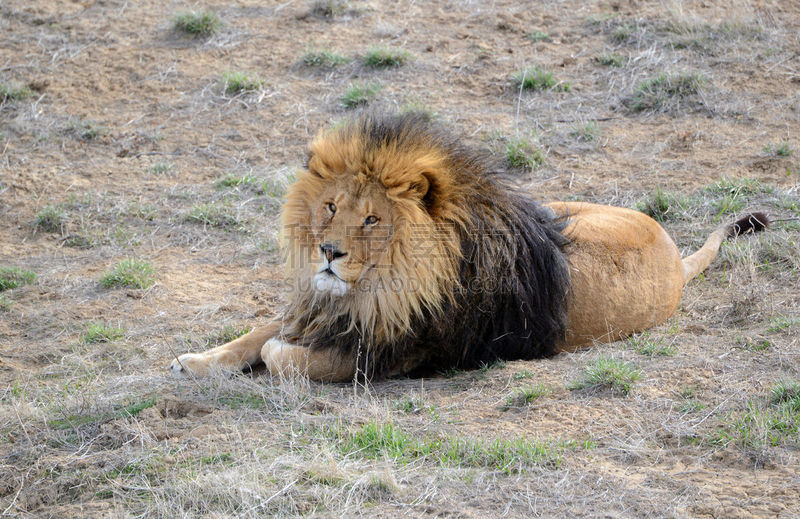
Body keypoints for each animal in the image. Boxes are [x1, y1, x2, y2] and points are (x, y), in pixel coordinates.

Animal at [170, 110, 768, 382]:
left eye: (372, 219)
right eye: (331, 208)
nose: (329, 254)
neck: (381, 287)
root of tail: (671, 251)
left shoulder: (389, 355)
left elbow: (284, 356)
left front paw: (271, 353)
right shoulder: (324, 308)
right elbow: (254, 334)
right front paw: (195, 360)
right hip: (557, 209)